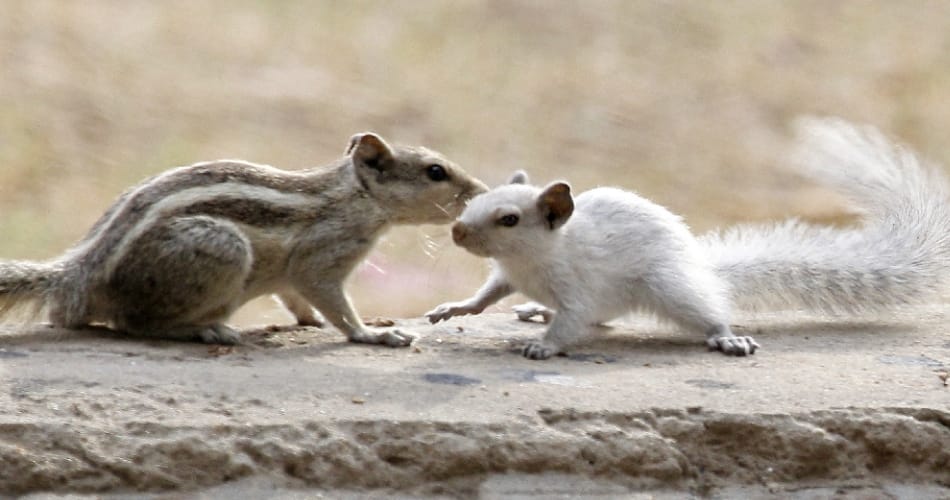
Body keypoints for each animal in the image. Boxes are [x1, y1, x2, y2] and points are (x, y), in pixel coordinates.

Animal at [0, 132, 488, 346]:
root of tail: (79, 274)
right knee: (134, 323)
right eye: (436, 172)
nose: (480, 191)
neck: (354, 197)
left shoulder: (293, 278)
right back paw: (207, 330)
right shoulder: (322, 258)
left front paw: (313, 321)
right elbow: (331, 301)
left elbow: (296, 300)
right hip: (224, 248)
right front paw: (370, 333)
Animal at [426, 118, 950, 360]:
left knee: (705, 312)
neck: (534, 259)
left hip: (670, 287)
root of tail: (699, 267)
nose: (457, 230)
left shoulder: (579, 287)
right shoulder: (506, 276)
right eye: (479, 200)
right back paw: (535, 309)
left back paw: (726, 337)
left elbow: (571, 320)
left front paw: (545, 347)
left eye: (509, 219)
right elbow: (485, 296)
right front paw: (453, 308)